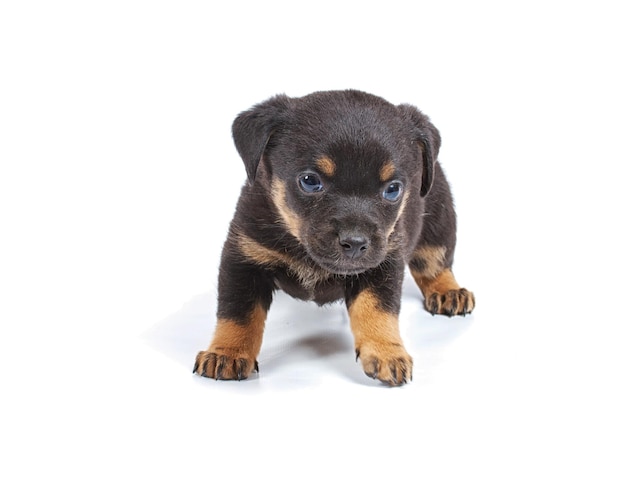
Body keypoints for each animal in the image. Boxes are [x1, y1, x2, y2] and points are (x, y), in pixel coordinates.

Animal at [193, 89, 470, 386]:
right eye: (310, 181)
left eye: (393, 189)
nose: (355, 242)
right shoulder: (244, 257)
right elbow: (238, 314)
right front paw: (226, 353)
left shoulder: (383, 264)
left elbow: (378, 308)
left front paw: (386, 351)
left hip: (439, 223)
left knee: (435, 264)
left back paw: (449, 293)